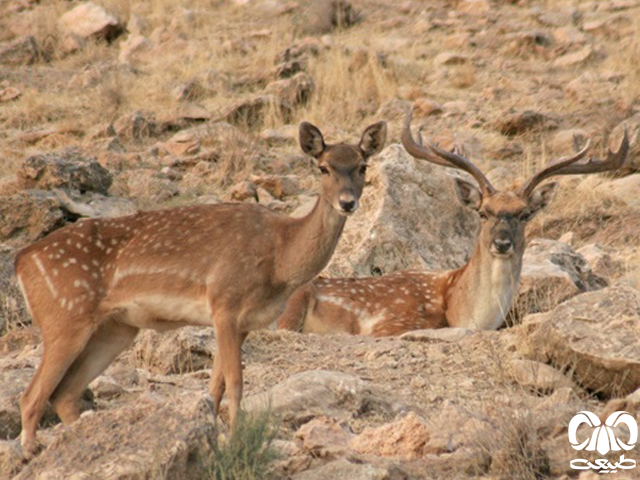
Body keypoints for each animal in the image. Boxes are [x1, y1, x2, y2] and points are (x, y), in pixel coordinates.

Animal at [13, 119, 384, 454]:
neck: (280, 258)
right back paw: (30, 451)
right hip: (64, 315)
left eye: (363, 166)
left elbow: (215, 385)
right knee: (32, 394)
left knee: (64, 394)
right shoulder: (225, 303)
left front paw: (213, 437)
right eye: (323, 168)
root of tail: (22, 260)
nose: (347, 202)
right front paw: (235, 441)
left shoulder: (242, 322)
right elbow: (235, 383)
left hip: (115, 328)